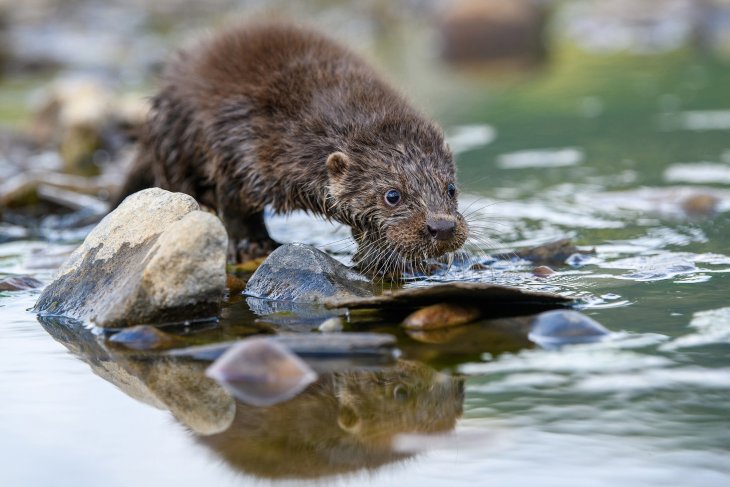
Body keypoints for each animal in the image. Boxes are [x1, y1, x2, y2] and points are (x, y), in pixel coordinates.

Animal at [114, 21, 466, 278]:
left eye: (451, 188)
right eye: (392, 195)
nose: (442, 227)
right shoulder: (238, 148)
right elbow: (235, 205)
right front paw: (252, 245)